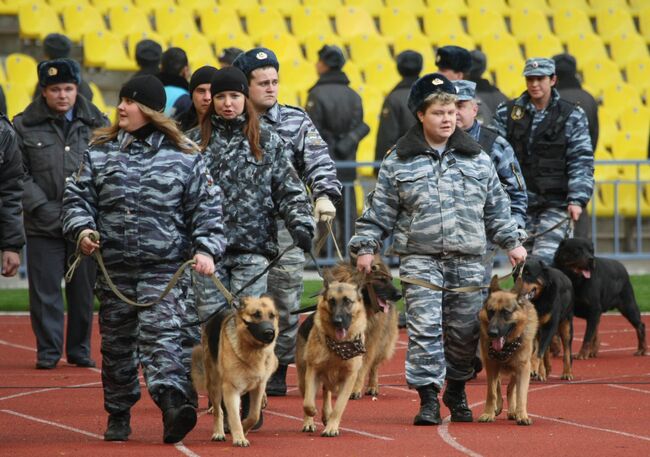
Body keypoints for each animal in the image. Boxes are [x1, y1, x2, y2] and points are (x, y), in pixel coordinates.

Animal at [190, 296, 276, 446]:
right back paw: (218, 432)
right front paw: (239, 438)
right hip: (214, 384)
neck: (252, 350)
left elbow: (254, 415)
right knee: (218, 410)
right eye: (256, 315)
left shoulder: (258, 387)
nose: (270, 333)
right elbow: (234, 417)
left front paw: (245, 428)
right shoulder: (231, 388)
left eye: (272, 316)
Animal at [296, 268, 368, 436]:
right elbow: (308, 402)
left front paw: (331, 427)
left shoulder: (349, 378)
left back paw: (326, 415)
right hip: (303, 375)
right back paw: (309, 422)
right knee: (309, 395)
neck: (339, 345)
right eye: (332, 301)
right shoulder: (313, 371)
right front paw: (312, 413)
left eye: (347, 301)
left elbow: (339, 407)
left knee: (327, 392)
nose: (337, 321)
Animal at [326, 255, 402, 398]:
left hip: (382, 344)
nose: (400, 295)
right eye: (381, 279)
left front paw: (354, 388)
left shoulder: (368, 344)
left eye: (390, 279)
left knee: (374, 367)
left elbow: (362, 368)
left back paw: (373, 386)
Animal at [476, 274, 536, 424]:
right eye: (491, 311)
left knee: (510, 388)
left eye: (506, 313)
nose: (492, 333)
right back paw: (498, 407)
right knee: (498, 386)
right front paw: (488, 412)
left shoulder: (523, 368)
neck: (507, 346)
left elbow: (521, 394)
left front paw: (522, 415)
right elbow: (491, 392)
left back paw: (513, 411)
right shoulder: (491, 364)